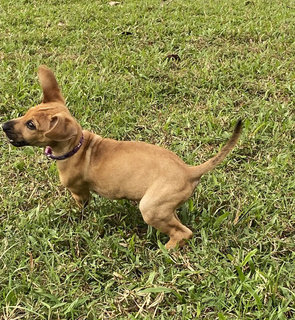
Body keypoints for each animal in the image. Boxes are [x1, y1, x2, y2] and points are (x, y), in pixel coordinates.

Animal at [2, 65, 243, 250]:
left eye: (31, 125)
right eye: (26, 114)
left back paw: (165, 250)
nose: (4, 126)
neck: (78, 145)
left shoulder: (79, 192)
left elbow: (81, 207)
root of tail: (189, 170)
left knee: (183, 233)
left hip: (151, 208)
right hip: (163, 207)